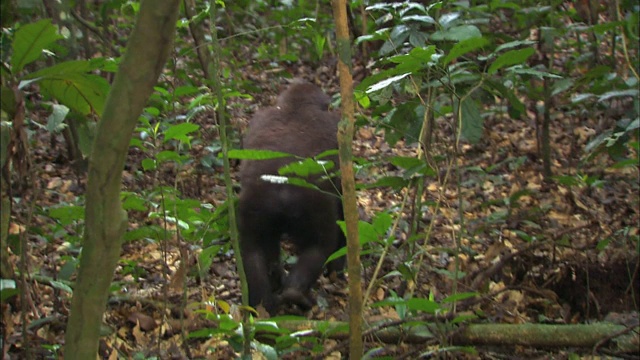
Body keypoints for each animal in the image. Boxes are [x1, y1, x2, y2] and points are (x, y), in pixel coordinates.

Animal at [236, 81, 344, 316]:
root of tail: (281, 187)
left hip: (253, 206)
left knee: (252, 252)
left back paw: (265, 304)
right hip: (312, 205)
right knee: (321, 245)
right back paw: (295, 293)